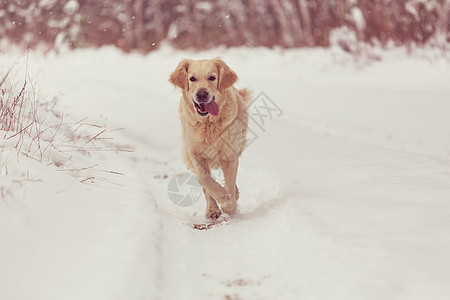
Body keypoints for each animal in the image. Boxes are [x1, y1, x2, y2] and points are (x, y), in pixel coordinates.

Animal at [171, 57, 251, 219]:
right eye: (192, 79)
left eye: (212, 78)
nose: (202, 94)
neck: (208, 124)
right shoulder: (194, 153)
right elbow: (205, 180)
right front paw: (222, 199)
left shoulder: (230, 155)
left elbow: (230, 181)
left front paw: (229, 204)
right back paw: (212, 210)